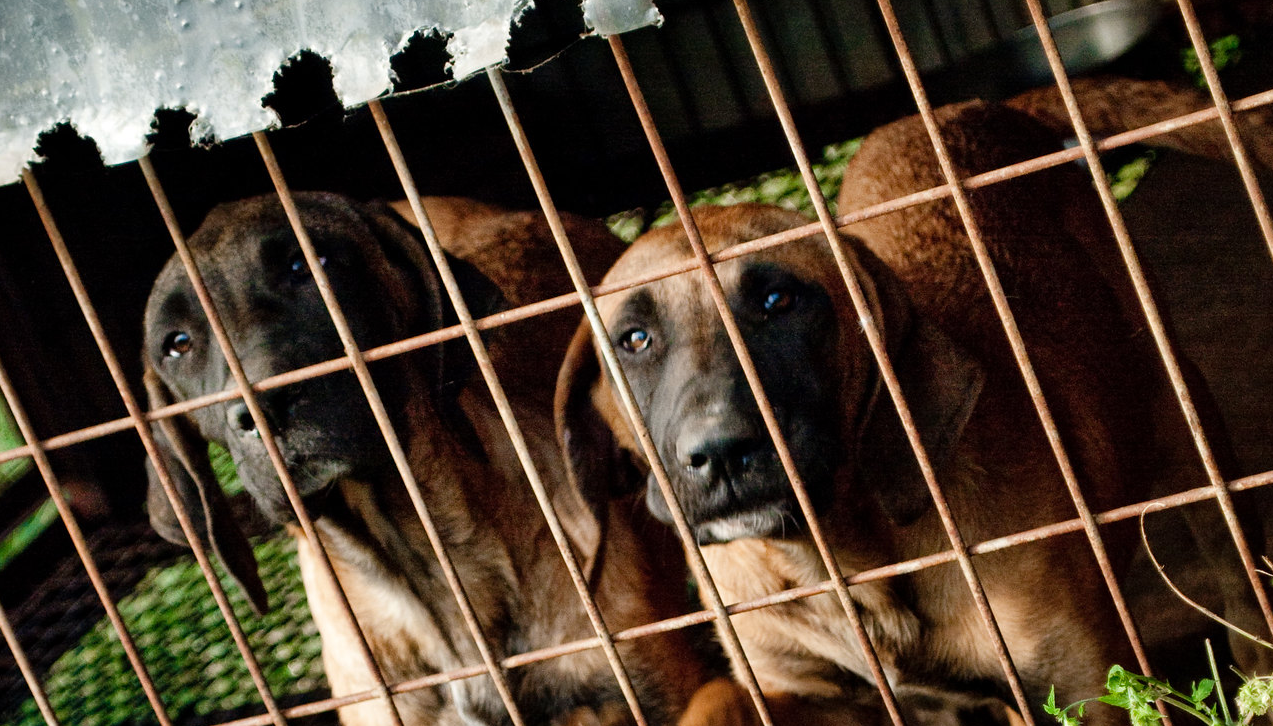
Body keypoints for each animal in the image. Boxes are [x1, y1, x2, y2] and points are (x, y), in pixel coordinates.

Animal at [555, 100, 1155, 723]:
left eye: (778, 302)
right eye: (634, 339)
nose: (719, 452)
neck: (842, 565)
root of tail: (970, 107)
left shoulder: (1081, 689)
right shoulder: (797, 687)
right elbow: (717, 695)